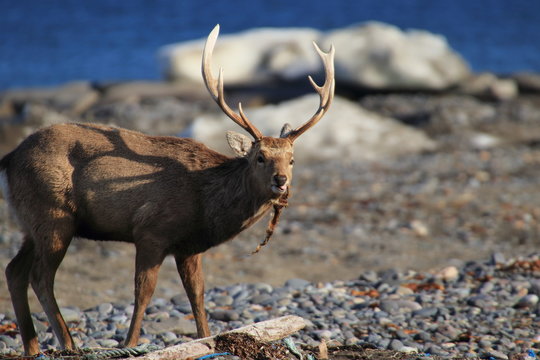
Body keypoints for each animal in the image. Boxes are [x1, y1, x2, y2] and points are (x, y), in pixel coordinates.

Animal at [1, 24, 334, 354]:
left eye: (292, 159)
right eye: (259, 157)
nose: (281, 180)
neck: (206, 206)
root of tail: (10, 157)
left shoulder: (189, 246)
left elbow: (197, 295)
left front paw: (206, 339)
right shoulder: (150, 230)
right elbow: (144, 292)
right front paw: (130, 343)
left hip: (29, 221)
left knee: (14, 271)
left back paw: (33, 347)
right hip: (53, 213)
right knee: (40, 276)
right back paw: (69, 344)